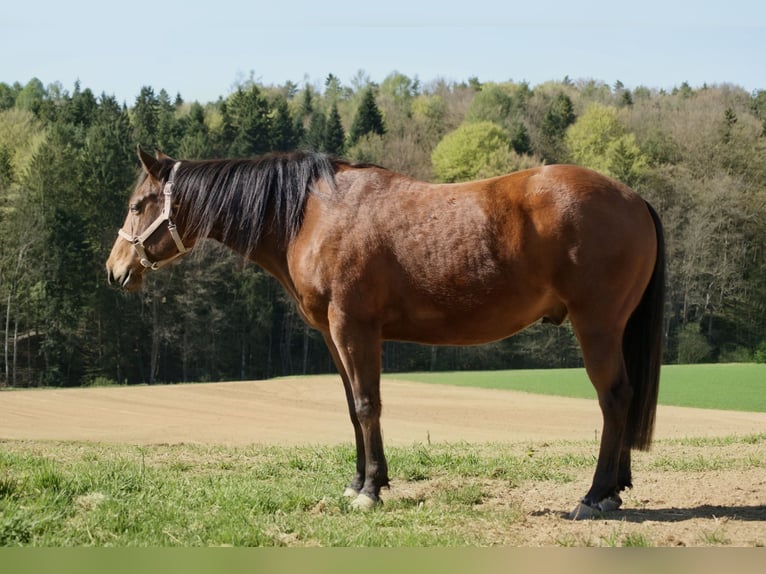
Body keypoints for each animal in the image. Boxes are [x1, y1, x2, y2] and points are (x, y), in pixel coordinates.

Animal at [106, 147, 665, 519]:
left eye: (137, 205)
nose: (114, 271)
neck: (310, 213)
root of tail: (634, 198)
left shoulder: (354, 328)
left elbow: (366, 405)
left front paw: (371, 490)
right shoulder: (333, 335)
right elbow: (351, 407)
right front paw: (358, 481)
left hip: (596, 324)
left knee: (614, 398)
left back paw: (594, 496)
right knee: (624, 397)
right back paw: (616, 488)